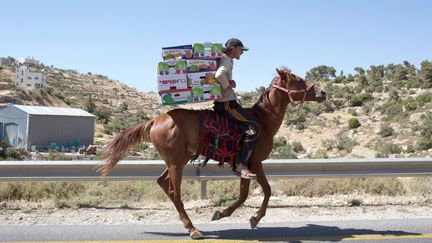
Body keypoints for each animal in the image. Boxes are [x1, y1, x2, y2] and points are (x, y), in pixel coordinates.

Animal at [98, 68, 328, 239]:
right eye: (298, 79)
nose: (322, 93)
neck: (262, 120)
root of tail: (156, 120)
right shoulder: (255, 162)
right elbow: (266, 191)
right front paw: (252, 217)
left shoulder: (247, 165)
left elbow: (245, 194)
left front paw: (223, 213)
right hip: (175, 162)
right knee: (175, 192)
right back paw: (193, 229)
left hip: (178, 159)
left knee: (163, 183)